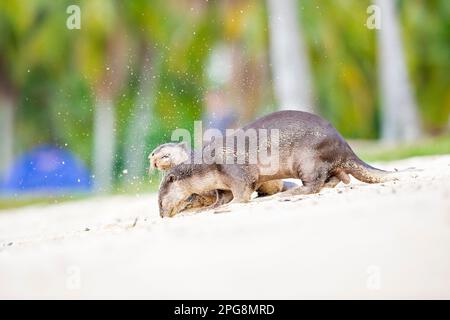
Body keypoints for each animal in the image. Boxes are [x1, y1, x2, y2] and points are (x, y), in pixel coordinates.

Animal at [158, 110, 390, 218]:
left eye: (160, 203)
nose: (161, 215)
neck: (207, 164)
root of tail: (343, 143)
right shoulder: (221, 185)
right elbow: (222, 196)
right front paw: (209, 208)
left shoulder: (235, 170)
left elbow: (241, 193)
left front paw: (229, 205)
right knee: (338, 177)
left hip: (308, 158)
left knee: (314, 183)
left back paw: (288, 194)